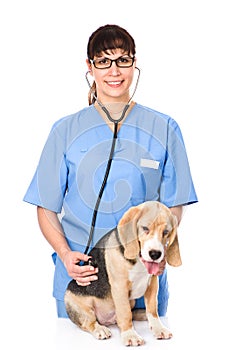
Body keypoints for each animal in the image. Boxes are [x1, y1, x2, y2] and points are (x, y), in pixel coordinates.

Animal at [64, 201, 181, 346]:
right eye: (145, 228)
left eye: (166, 232)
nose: (155, 254)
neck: (138, 260)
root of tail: (107, 321)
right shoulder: (120, 287)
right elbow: (125, 314)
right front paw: (130, 335)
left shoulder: (153, 284)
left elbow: (152, 310)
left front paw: (158, 328)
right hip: (76, 303)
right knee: (89, 322)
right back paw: (100, 329)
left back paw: (142, 314)